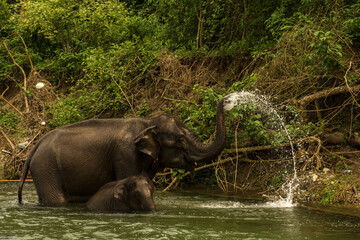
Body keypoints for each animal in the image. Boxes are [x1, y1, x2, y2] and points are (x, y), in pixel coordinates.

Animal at [17, 96, 228, 206]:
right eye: (180, 140)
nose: (226, 99)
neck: (148, 123)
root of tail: (34, 147)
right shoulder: (126, 154)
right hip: (45, 169)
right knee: (57, 200)